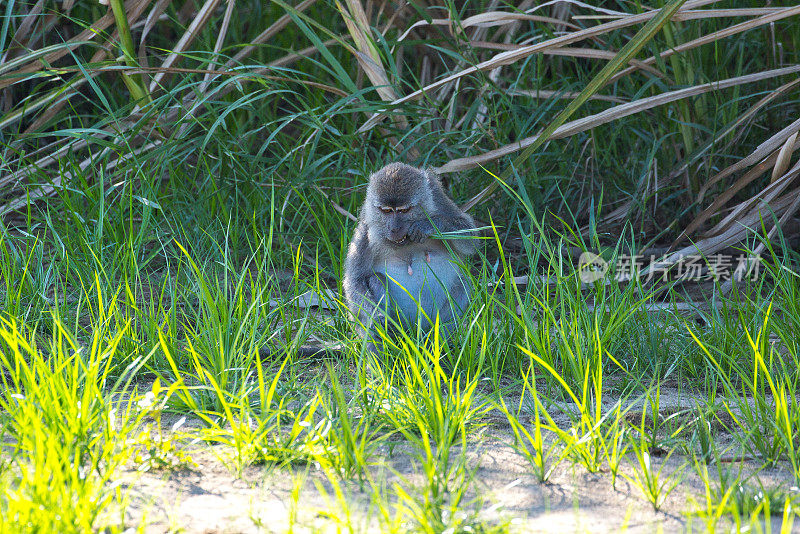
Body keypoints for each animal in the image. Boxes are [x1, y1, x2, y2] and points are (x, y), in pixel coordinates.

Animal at [342, 163, 478, 348]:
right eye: (386, 211)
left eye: (404, 210)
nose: (394, 228)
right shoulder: (366, 226)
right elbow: (355, 280)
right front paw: (377, 318)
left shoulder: (437, 197)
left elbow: (471, 236)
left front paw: (429, 224)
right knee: (375, 280)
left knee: (463, 283)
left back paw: (436, 344)